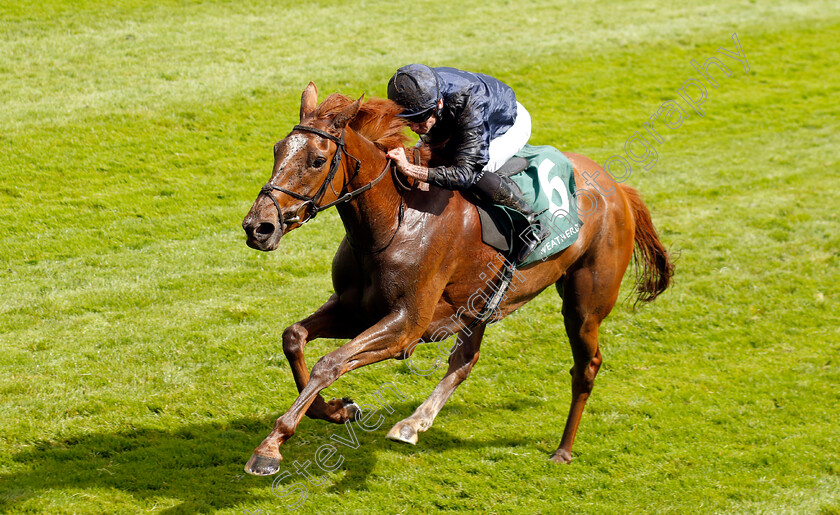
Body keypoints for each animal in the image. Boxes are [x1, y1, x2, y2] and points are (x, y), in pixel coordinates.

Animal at [241, 83, 668, 476]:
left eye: (317, 160)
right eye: (277, 150)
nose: (258, 227)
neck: (392, 221)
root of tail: (617, 188)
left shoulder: (407, 325)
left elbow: (329, 363)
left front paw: (269, 447)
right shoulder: (354, 309)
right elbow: (294, 337)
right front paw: (336, 409)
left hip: (583, 305)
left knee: (586, 367)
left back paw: (563, 449)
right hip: (479, 304)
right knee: (465, 360)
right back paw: (414, 423)